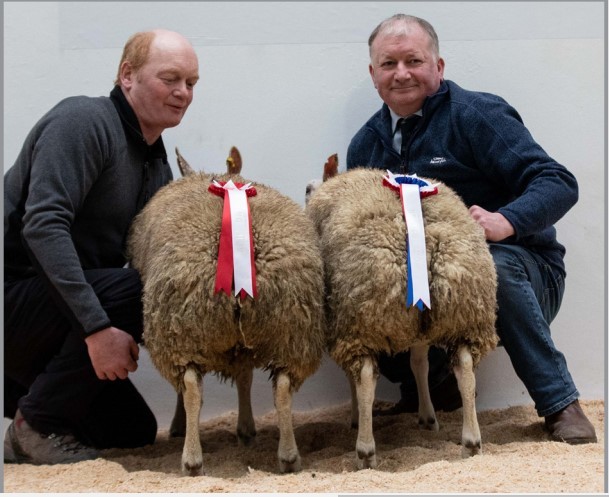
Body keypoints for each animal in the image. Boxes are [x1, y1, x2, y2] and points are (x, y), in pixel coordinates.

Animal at [127, 148, 326, 476]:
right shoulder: (242, 344)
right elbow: (245, 379)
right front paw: (246, 430)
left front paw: (180, 427)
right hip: (292, 329)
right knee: (283, 388)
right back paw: (288, 457)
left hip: (180, 330)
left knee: (191, 388)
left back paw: (192, 460)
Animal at [306, 155, 496, 468]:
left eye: (308, 189)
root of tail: (427, 243)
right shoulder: (418, 325)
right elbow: (419, 364)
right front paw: (427, 417)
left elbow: (355, 378)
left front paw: (356, 419)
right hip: (465, 313)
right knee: (465, 367)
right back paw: (471, 442)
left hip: (362, 317)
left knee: (365, 376)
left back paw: (365, 450)